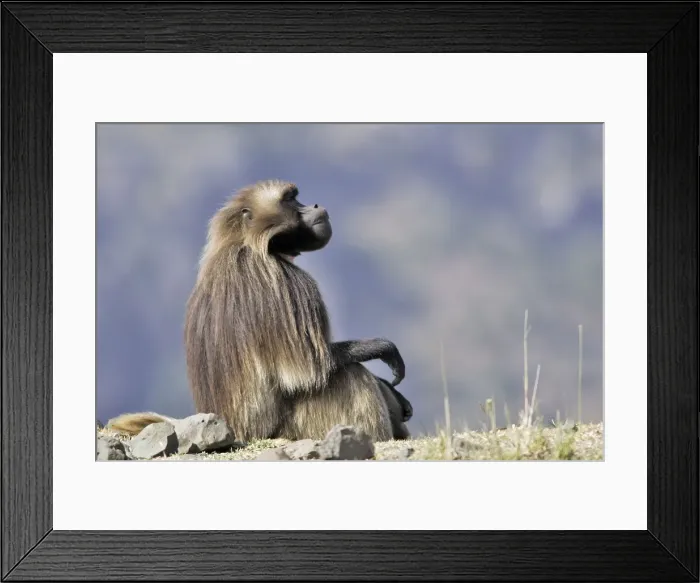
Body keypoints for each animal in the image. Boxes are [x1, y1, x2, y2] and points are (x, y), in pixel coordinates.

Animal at [108, 179, 413, 443]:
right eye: (290, 199)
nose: (315, 205)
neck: (243, 243)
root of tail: (236, 431)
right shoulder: (287, 282)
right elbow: (311, 367)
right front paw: (383, 349)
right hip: (292, 429)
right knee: (349, 374)